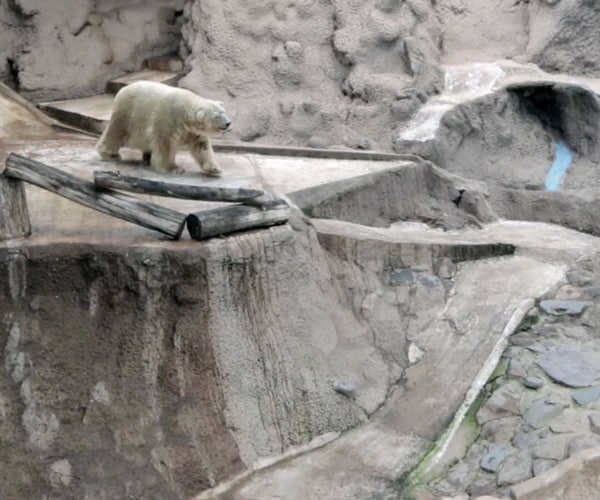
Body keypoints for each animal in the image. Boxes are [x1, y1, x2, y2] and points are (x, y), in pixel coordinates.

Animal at [97, 80, 231, 176]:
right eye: (216, 116)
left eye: (224, 111)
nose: (228, 123)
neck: (184, 111)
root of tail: (123, 89)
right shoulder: (167, 119)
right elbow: (164, 143)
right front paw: (174, 169)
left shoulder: (192, 131)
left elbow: (202, 146)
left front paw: (214, 168)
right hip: (127, 114)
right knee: (116, 133)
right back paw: (110, 155)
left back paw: (147, 158)